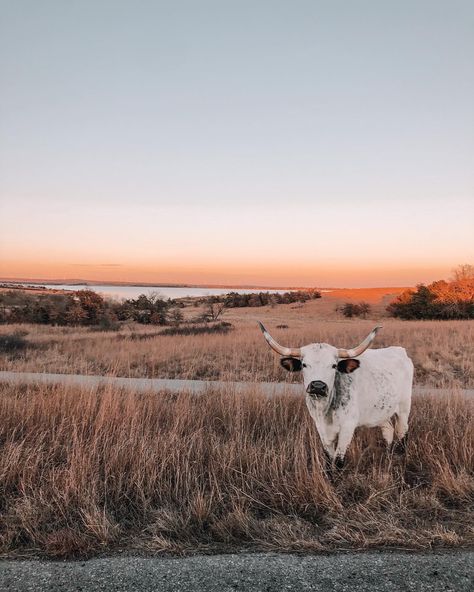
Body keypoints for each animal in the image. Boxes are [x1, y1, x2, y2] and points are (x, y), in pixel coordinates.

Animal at [260, 322, 414, 470]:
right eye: (304, 364)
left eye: (334, 365)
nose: (318, 386)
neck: (325, 410)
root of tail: (400, 350)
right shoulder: (321, 428)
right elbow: (329, 460)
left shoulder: (347, 428)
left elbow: (339, 461)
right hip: (381, 411)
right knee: (388, 430)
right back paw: (387, 457)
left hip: (404, 408)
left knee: (402, 431)